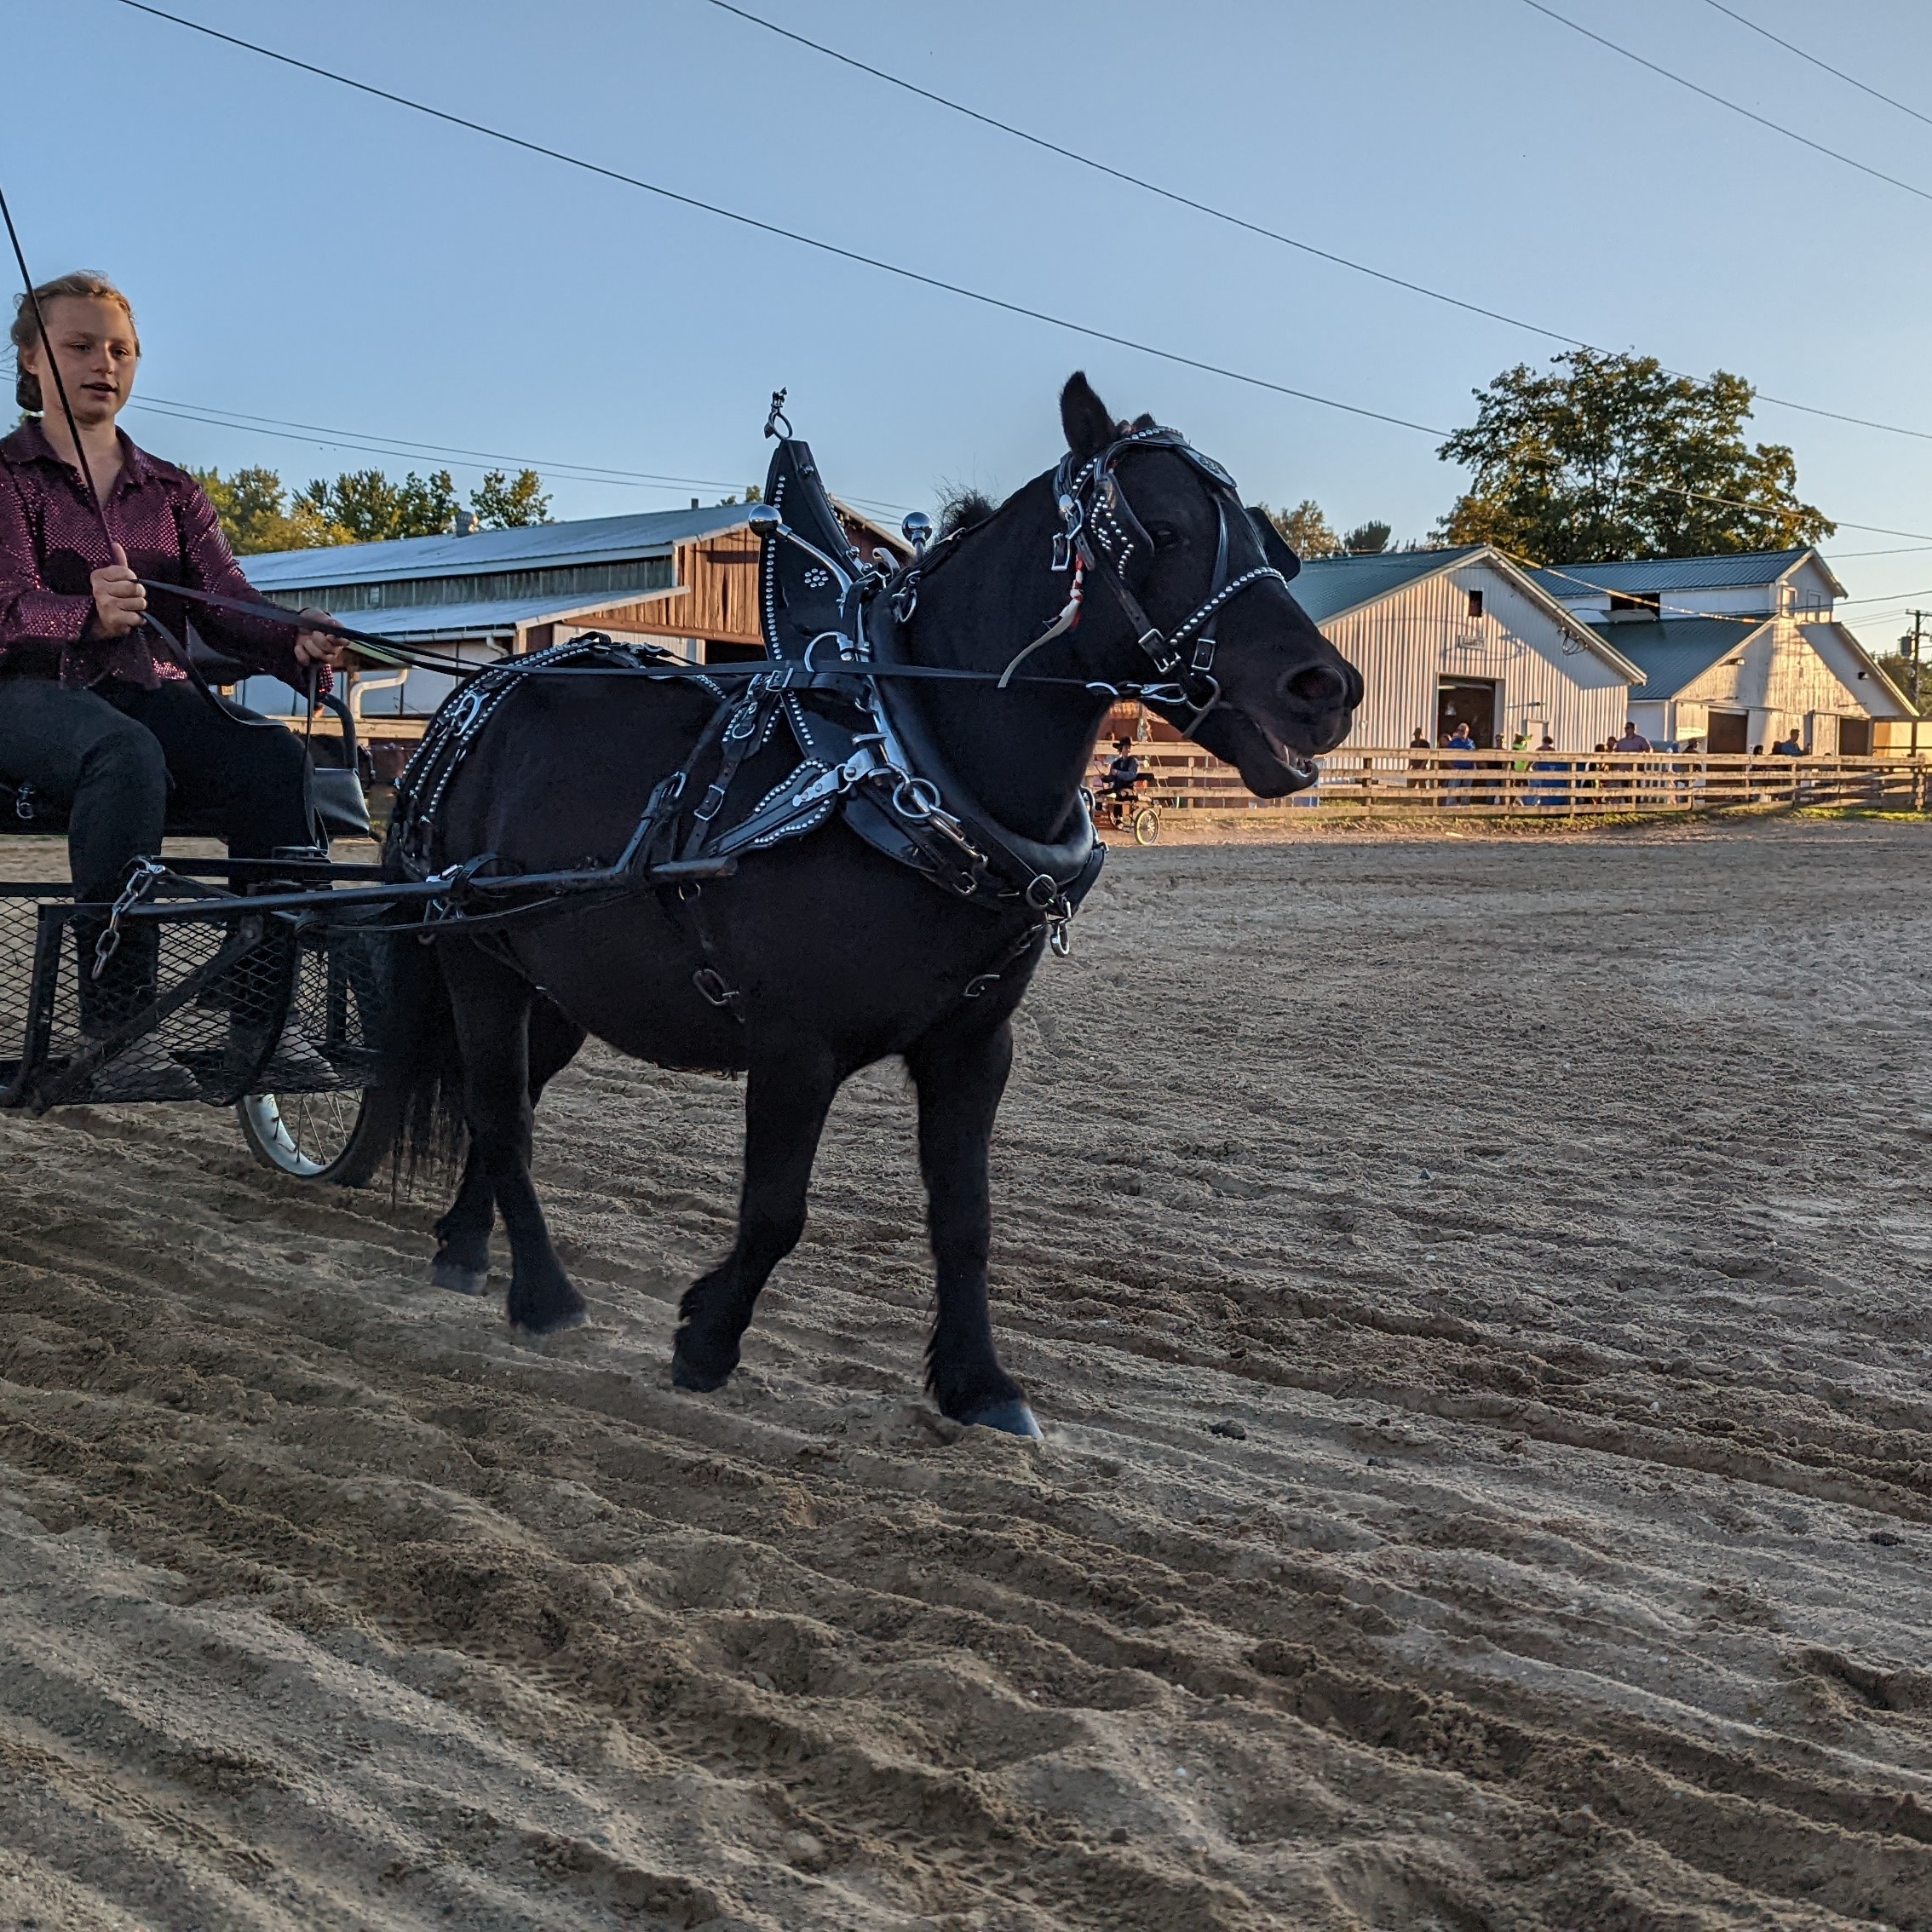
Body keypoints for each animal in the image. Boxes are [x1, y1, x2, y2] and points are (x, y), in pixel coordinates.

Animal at [388, 377, 1360, 1437]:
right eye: (1165, 531)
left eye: (1273, 545)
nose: (1328, 689)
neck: (898, 760)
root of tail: (479, 693)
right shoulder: (794, 1045)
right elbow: (777, 1212)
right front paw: (705, 1338)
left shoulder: (973, 1046)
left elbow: (966, 1221)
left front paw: (981, 1384)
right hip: (474, 959)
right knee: (499, 1116)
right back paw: (544, 1297)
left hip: (559, 989)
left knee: (505, 1108)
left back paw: (463, 1250)